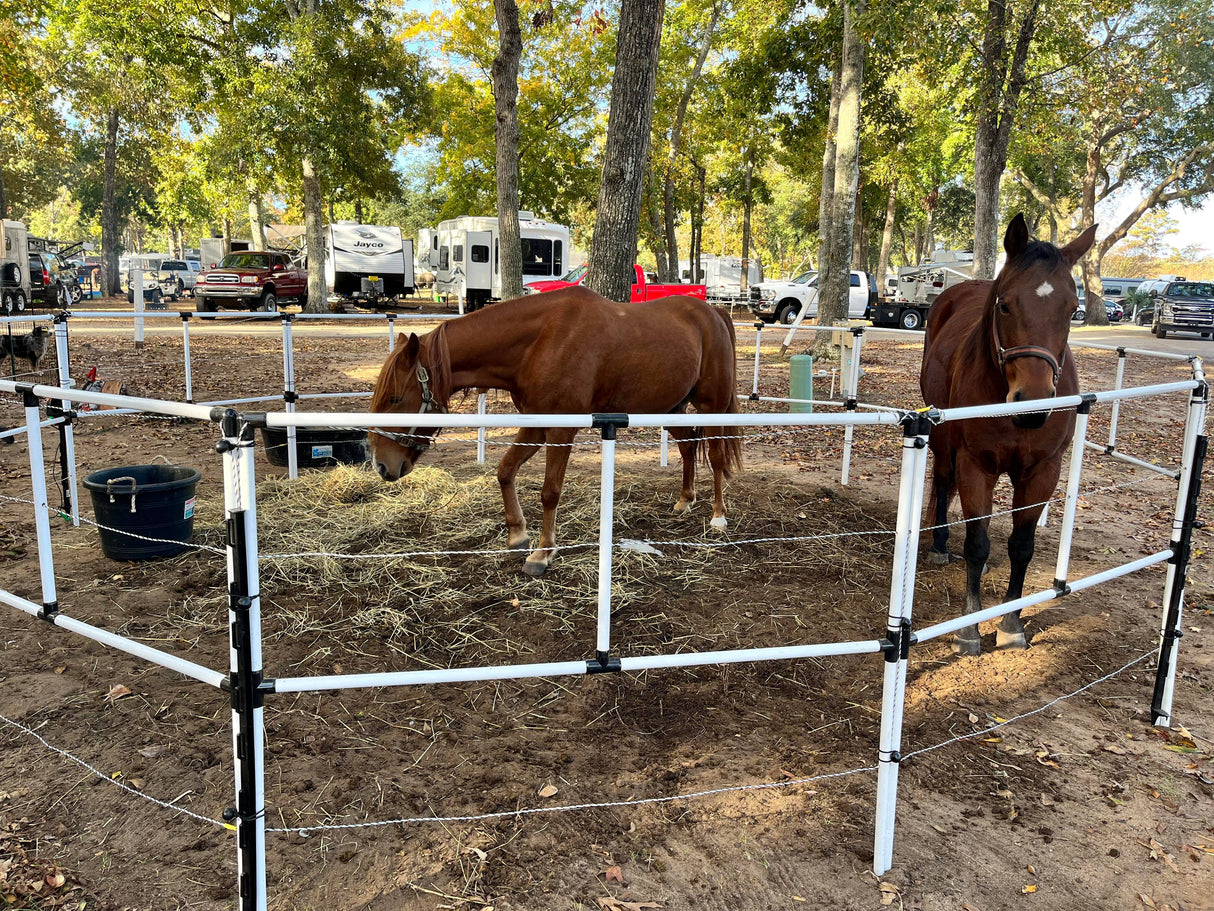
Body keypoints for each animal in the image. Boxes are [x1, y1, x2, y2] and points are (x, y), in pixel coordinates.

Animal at [369, 286, 743, 576]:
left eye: (395, 398)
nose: (382, 465)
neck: (540, 342)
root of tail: (713, 312)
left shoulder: (561, 430)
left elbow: (550, 492)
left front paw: (543, 552)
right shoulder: (535, 426)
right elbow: (505, 470)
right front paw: (517, 535)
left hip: (711, 406)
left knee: (715, 454)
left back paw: (718, 516)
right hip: (671, 408)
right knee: (688, 445)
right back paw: (685, 500)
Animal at [920, 214, 1097, 656]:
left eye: (1072, 310)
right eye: (1005, 305)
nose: (1031, 402)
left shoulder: (1042, 472)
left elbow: (1021, 546)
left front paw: (1011, 623)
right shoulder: (975, 466)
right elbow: (977, 544)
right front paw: (969, 629)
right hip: (943, 441)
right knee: (943, 482)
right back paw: (939, 546)